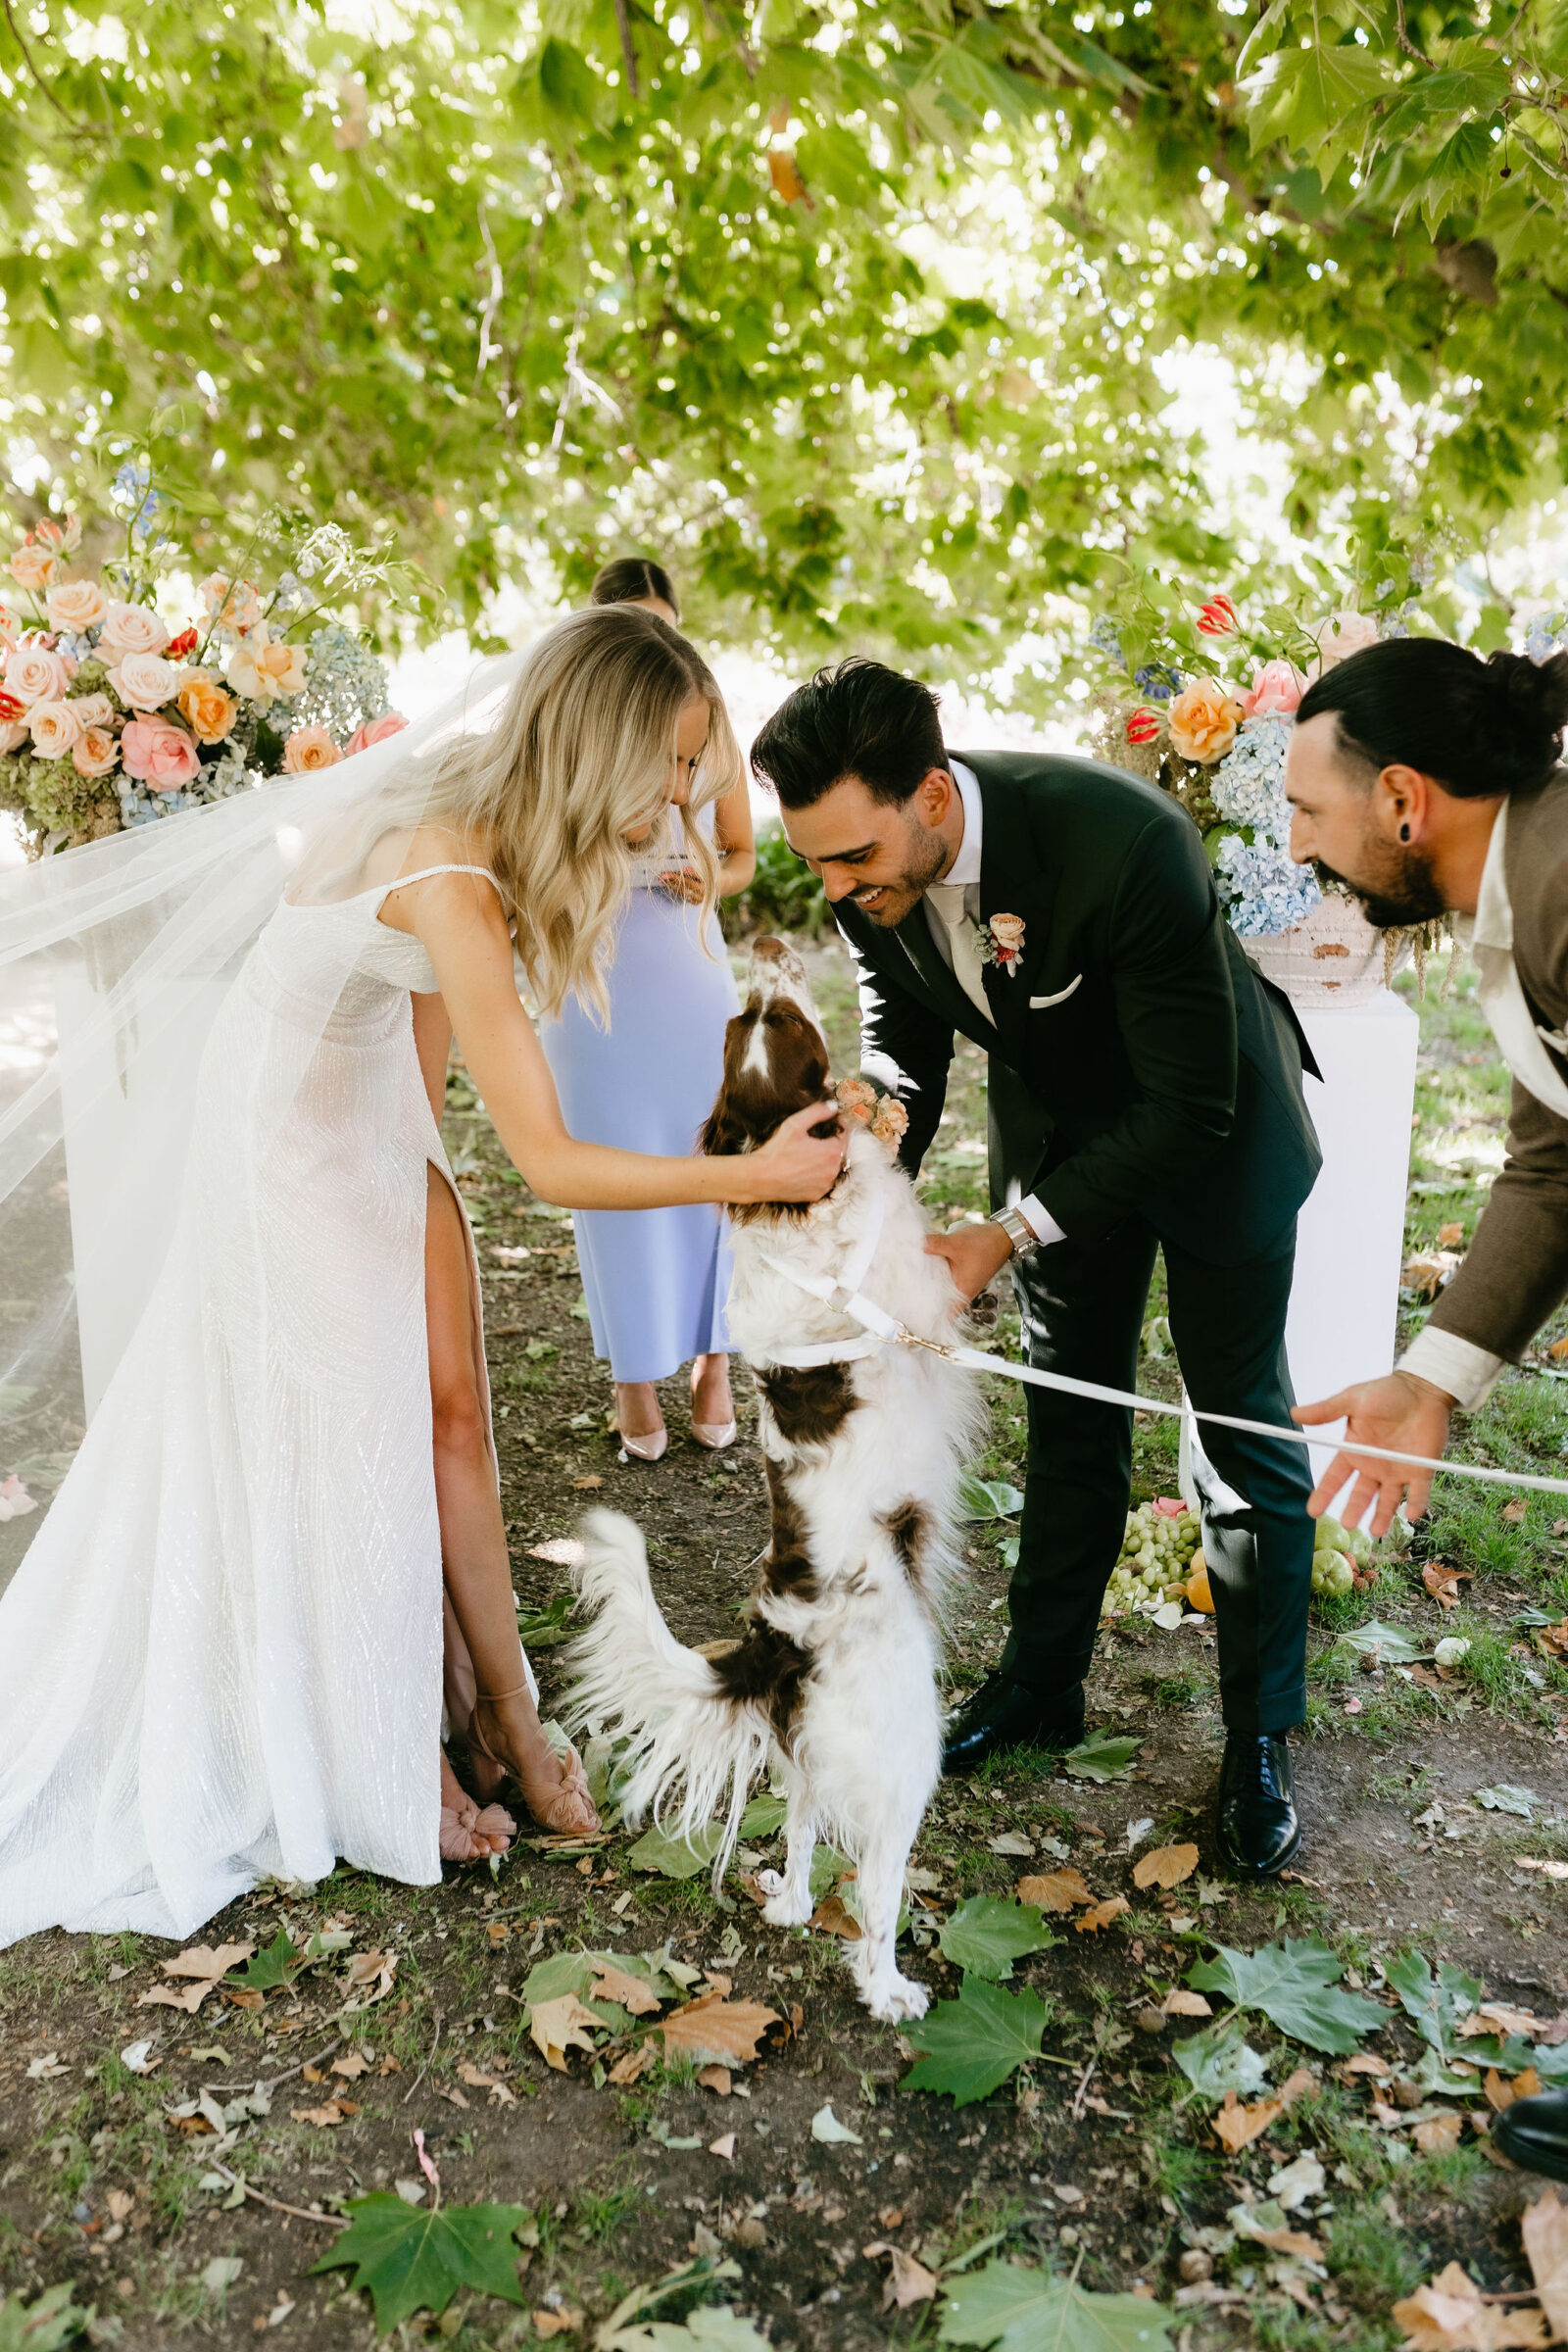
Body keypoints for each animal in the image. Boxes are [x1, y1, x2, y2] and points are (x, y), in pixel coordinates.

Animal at [565, 937, 986, 2022]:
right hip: (906, 1762)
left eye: (751, 1027)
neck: (790, 1197)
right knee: (872, 1897)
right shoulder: (912, 1280)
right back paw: (891, 1990)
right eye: (790, 1026)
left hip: (813, 1755)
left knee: (800, 1834)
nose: (767, 951)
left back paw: (789, 1903)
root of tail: (771, 1650)